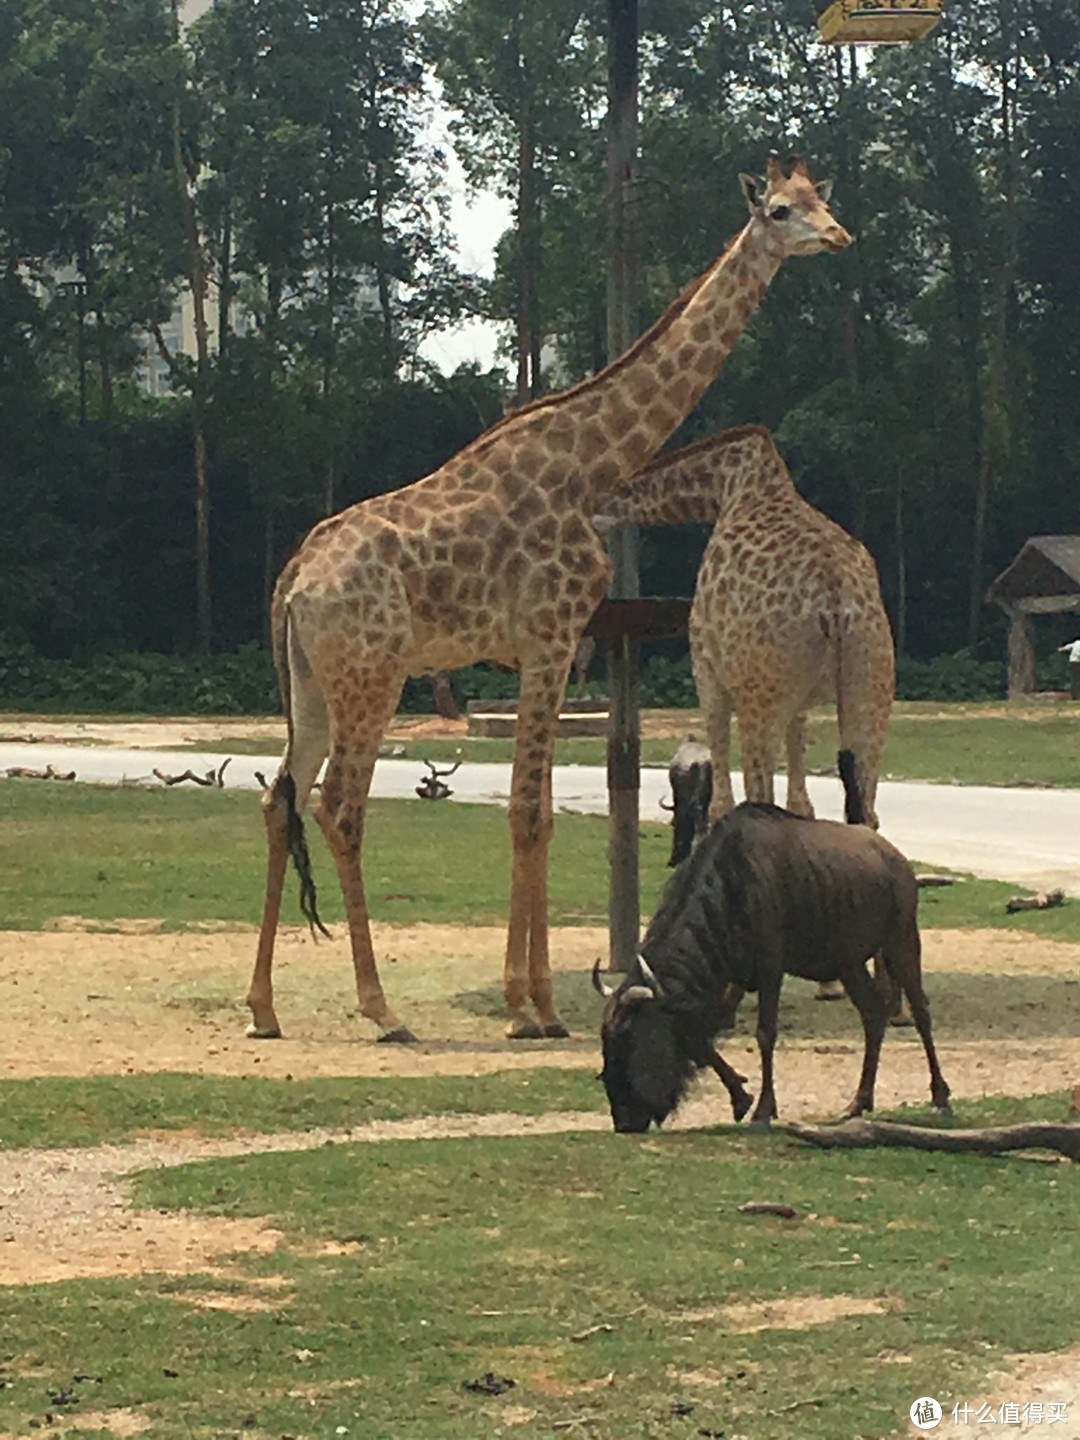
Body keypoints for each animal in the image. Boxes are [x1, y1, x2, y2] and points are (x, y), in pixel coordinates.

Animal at [247, 157, 852, 1048]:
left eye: (822, 200)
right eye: (780, 210)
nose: (839, 237)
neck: (592, 462)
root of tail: (294, 580)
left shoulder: (559, 649)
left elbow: (539, 814)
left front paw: (537, 1003)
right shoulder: (550, 636)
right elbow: (528, 814)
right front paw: (525, 1006)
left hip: (311, 685)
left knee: (279, 799)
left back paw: (262, 1007)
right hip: (371, 676)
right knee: (340, 807)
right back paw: (381, 1008)